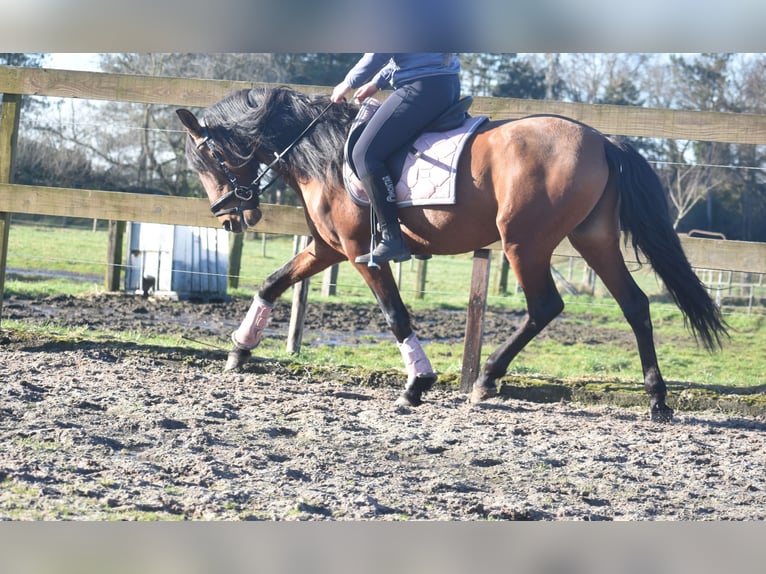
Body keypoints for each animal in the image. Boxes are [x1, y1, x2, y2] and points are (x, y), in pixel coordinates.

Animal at [177, 88, 728, 426]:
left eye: (208, 159)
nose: (229, 219)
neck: (322, 149)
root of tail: (602, 140)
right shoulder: (328, 247)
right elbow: (271, 282)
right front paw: (239, 350)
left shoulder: (359, 254)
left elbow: (396, 316)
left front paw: (416, 384)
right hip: (592, 240)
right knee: (635, 304)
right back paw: (657, 401)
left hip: (524, 242)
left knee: (546, 306)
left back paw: (485, 381)